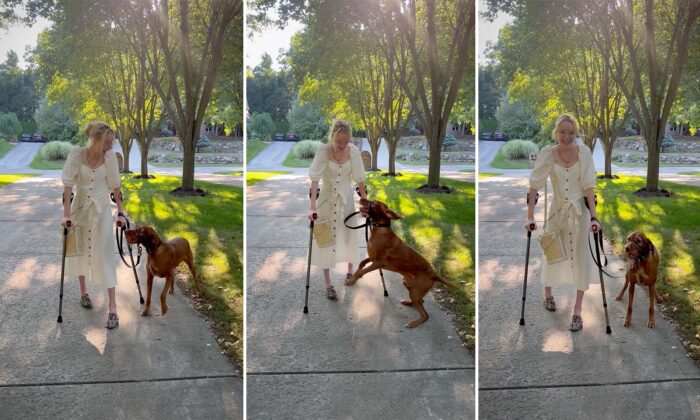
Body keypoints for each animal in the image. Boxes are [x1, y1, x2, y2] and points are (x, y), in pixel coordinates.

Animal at [344, 199, 454, 328]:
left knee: (425, 315)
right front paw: (353, 276)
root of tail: (434, 274)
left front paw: (351, 281)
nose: (361, 198)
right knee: (420, 302)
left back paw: (413, 323)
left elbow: (361, 271)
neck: (380, 230)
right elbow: (361, 264)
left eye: (374, 203)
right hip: (410, 286)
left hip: (415, 291)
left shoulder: (378, 263)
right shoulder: (372, 258)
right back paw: (408, 302)